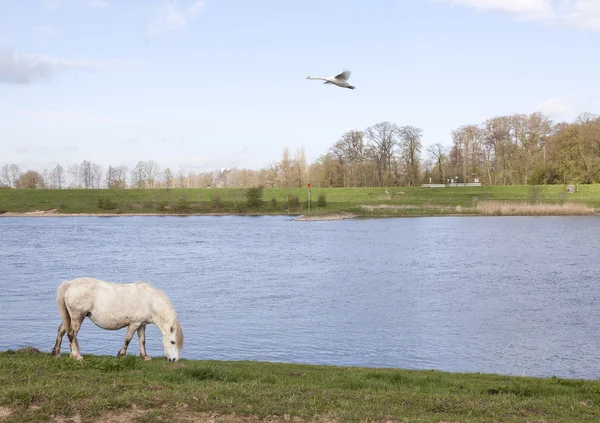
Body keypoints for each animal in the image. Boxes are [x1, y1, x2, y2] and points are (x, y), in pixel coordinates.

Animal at [50, 276, 184, 362]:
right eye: (172, 342)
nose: (174, 359)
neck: (149, 301)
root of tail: (70, 284)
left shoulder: (141, 324)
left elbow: (142, 341)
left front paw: (145, 357)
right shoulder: (134, 323)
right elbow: (128, 340)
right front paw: (121, 355)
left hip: (69, 317)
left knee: (61, 331)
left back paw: (56, 354)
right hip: (77, 317)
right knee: (71, 334)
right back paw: (76, 356)